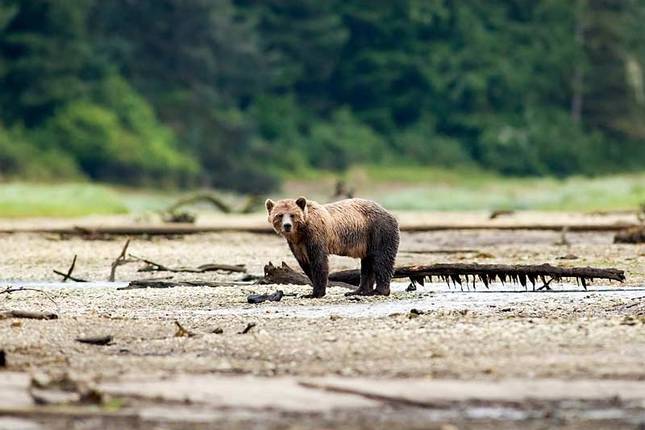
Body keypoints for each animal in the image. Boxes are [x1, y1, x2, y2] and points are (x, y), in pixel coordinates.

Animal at [265, 196, 400, 298]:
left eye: (292, 215)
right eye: (280, 215)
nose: (287, 226)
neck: (300, 232)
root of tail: (390, 214)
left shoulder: (315, 235)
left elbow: (319, 262)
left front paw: (315, 293)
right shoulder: (297, 245)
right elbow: (306, 264)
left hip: (379, 231)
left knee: (382, 260)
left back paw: (378, 291)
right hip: (367, 242)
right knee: (368, 263)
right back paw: (358, 291)